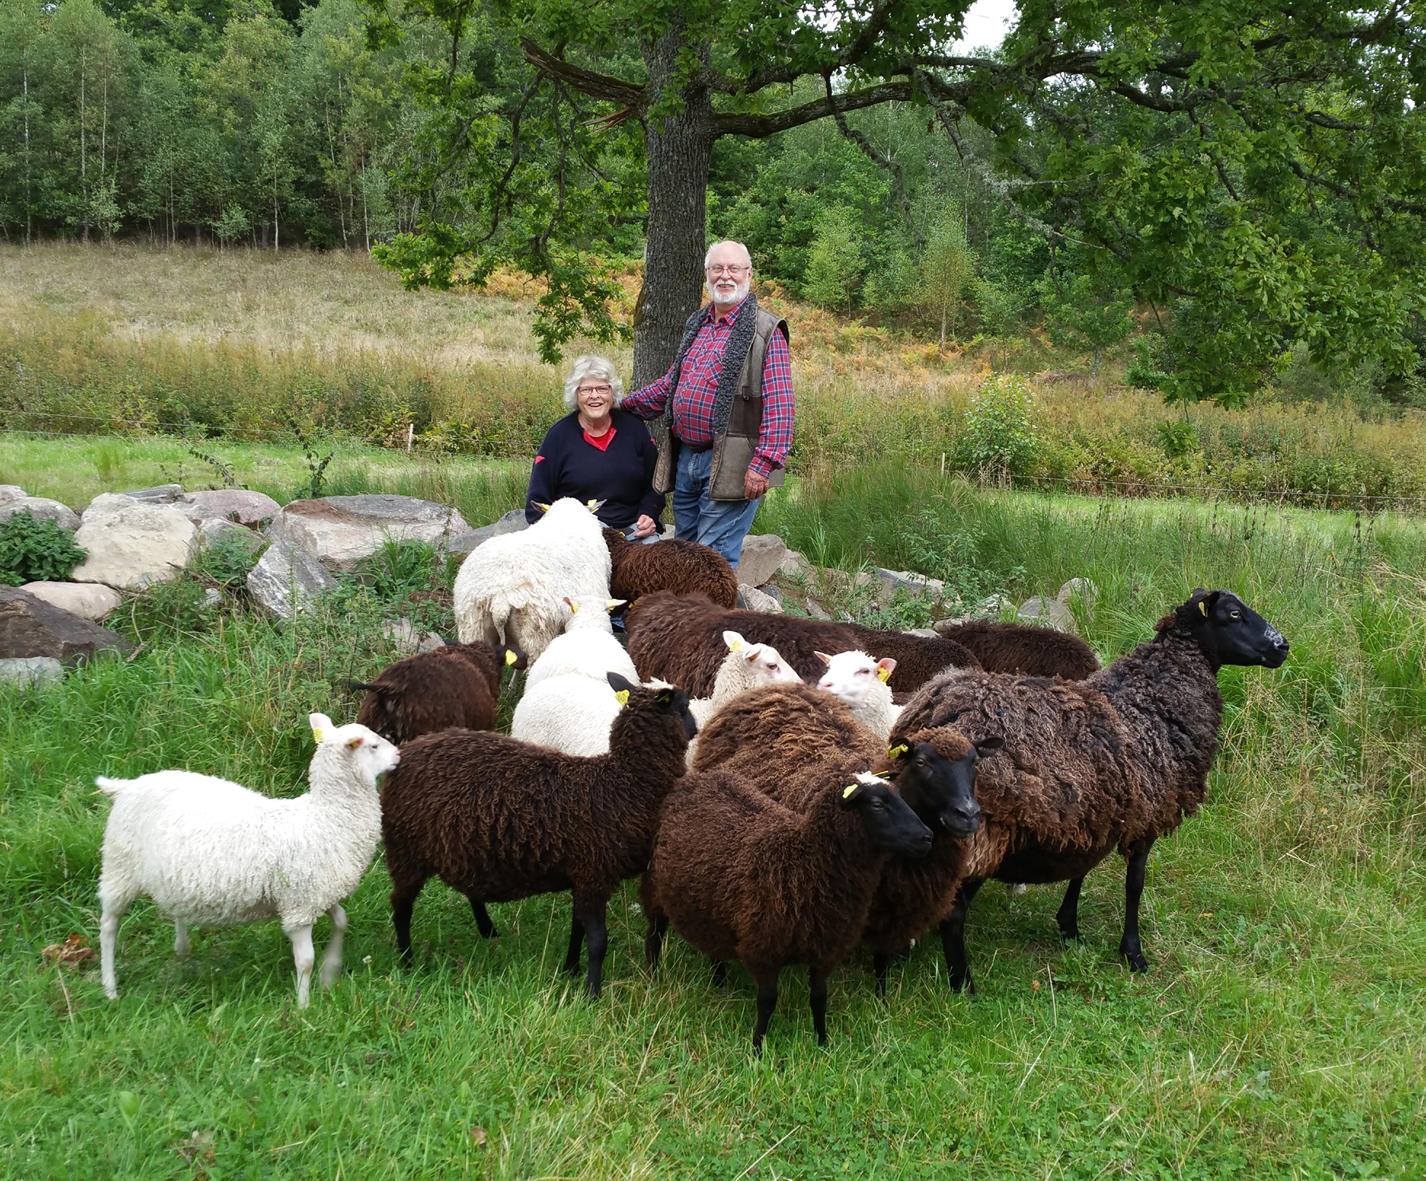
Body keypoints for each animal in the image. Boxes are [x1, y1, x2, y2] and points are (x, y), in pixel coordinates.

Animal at [95, 710, 399, 1004]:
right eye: (373, 746)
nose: (398, 755)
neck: (327, 818)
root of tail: (126, 787)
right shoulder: (299, 907)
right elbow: (305, 961)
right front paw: (303, 1006)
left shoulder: (318, 893)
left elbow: (341, 921)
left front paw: (330, 972)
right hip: (119, 867)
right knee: (108, 926)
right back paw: (109, 988)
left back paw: (181, 950)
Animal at [376, 673, 693, 998]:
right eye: (684, 707)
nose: (696, 729)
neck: (625, 784)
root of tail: (403, 756)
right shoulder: (594, 874)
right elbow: (597, 941)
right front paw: (592, 993)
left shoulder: (581, 875)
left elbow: (577, 928)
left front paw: (570, 969)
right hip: (406, 850)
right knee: (400, 906)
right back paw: (407, 960)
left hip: (458, 847)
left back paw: (487, 929)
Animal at [889, 587, 1294, 987]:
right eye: (1234, 614)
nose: (1282, 646)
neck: (1154, 696)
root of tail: (933, 708)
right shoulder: (1147, 817)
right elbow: (1135, 884)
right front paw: (1133, 953)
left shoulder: (1095, 813)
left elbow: (1082, 869)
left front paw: (1069, 927)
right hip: (982, 831)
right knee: (954, 911)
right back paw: (963, 984)